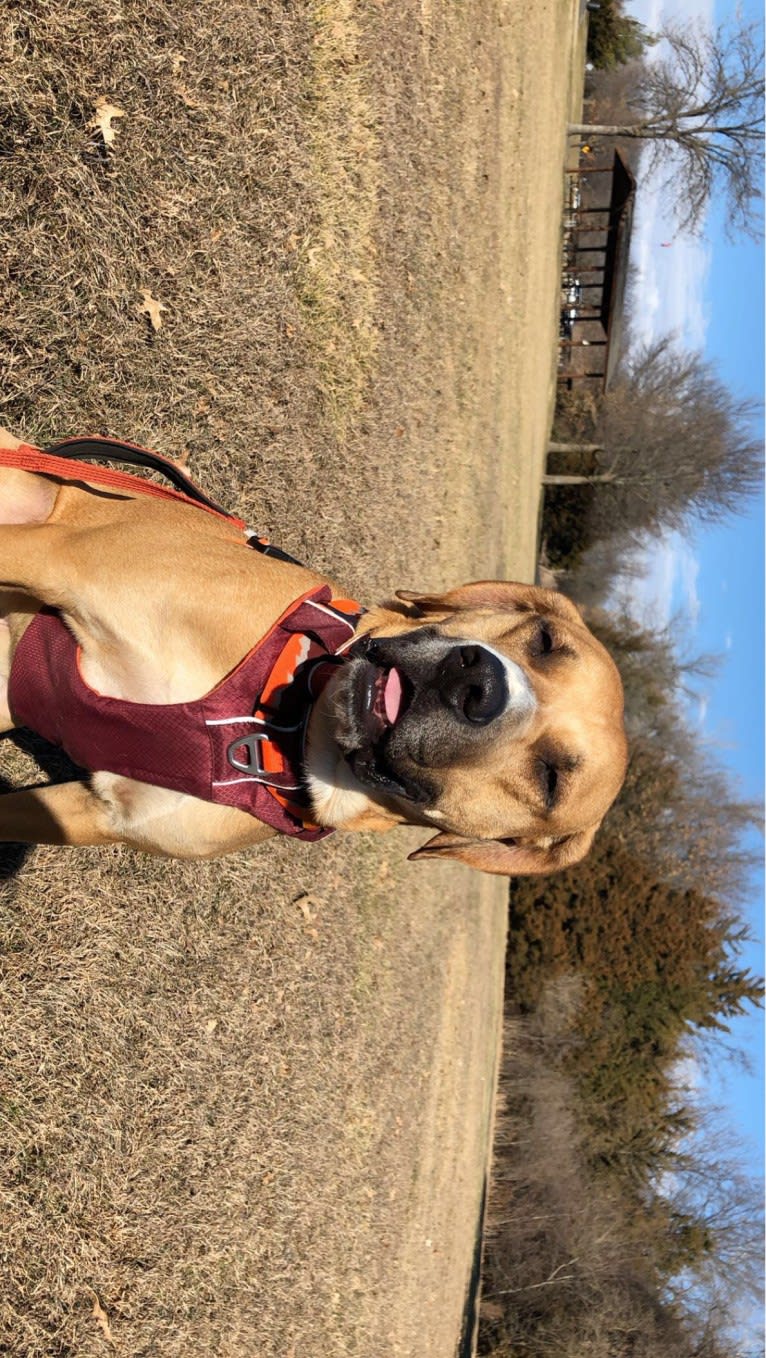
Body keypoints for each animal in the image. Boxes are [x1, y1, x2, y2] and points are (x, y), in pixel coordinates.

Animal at [0, 426, 624, 869]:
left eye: (550, 780)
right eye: (544, 640)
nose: (476, 684)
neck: (285, 720)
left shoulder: (97, 811)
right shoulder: (56, 561)